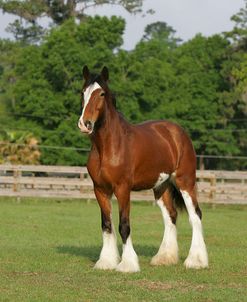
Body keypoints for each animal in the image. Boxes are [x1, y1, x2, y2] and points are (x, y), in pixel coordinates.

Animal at [77, 66, 208, 274]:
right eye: (83, 92)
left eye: (102, 93)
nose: (85, 124)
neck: (109, 146)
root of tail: (178, 133)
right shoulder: (100, 190)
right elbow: (106, 224)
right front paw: (106, 261)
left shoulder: (123, 189)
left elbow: (124, 225)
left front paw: (127, 264)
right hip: (161, 186)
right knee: (170, 216)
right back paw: (164, 258)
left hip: (185, 182)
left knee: (195, 215)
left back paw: (196, 260)